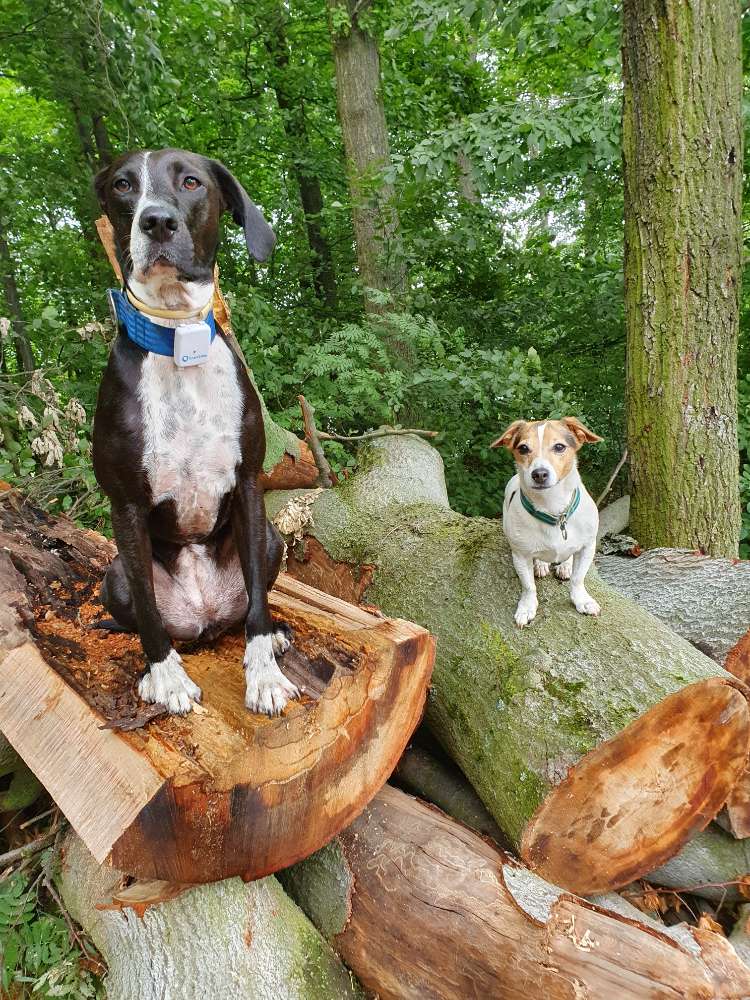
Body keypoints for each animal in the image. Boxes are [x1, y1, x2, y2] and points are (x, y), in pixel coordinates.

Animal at [95, 145, 302, 716]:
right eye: (123, 184)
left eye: (191, 182)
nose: (157, 221)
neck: (177, 340)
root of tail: (204, 618)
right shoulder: (124, 505)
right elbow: (148, 614)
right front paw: (166, 678)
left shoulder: (250, 483)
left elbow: (257, 609)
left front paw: (264, 674)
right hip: (114, 573)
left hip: (272, 539)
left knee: (250, 603)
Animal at [494, 418, 604, 628]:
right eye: (523, 448)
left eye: (559, 446)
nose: (539, 474)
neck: (553, 510)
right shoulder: (520, 555)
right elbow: (528, 586)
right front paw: (527, 607)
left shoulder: (588, 546)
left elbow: (578, 578)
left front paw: (582, 600)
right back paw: (540, 564)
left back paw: (565, 565)